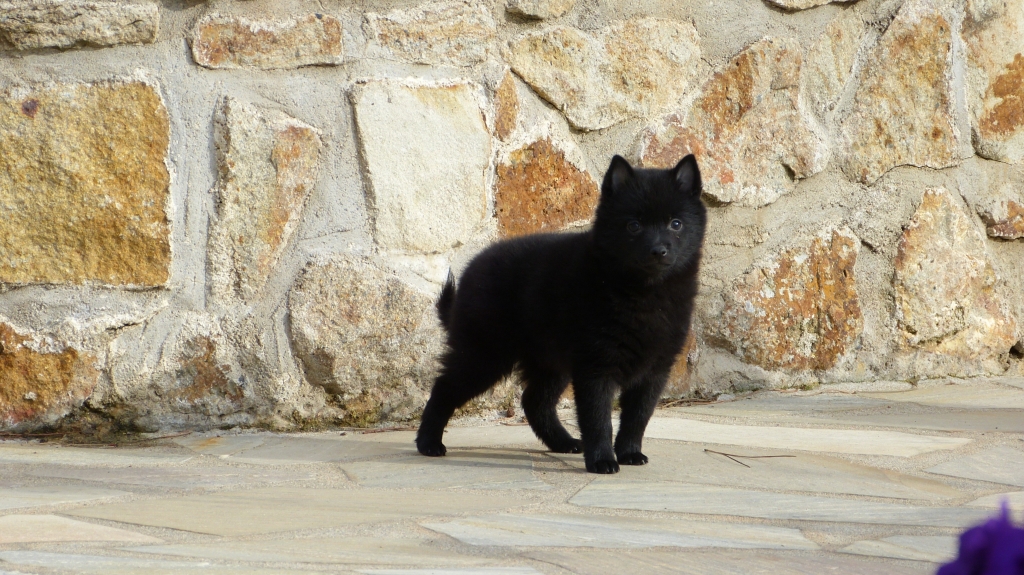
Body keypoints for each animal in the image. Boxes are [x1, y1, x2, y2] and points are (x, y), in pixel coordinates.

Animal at [413, 152, 704, 470]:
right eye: (633, 226)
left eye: (675, 224)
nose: (658, 251)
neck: (644, 293)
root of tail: (471, 271)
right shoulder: (596, 366)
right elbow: (598, 419)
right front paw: (602, 460)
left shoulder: (655, 370)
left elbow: (637, 417)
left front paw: (629, 453)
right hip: (484, 354)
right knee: (444, 388)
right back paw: (428, 443)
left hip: (548, 360)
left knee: (534, 401)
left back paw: (563, 442)